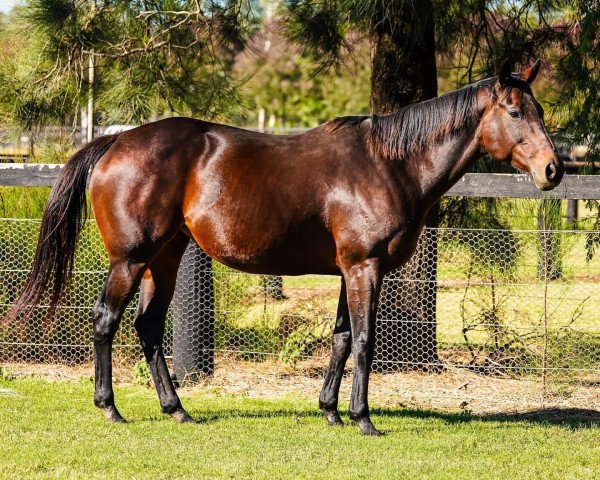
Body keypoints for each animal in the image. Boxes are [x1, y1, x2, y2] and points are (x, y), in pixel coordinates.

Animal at [8, 60, 564, 436]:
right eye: (515, 111)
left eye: (538, 109)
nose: (552, 170)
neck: (389, 163)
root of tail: (116, 143)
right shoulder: (365, 268)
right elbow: (364, 341)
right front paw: (363, 419)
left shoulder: (349, 271)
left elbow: (340, 338)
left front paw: (331, 411)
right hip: (131, 258)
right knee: (106, 321)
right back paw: (111, 408)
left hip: (164, 259)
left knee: (147, 328)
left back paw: (177, 409)